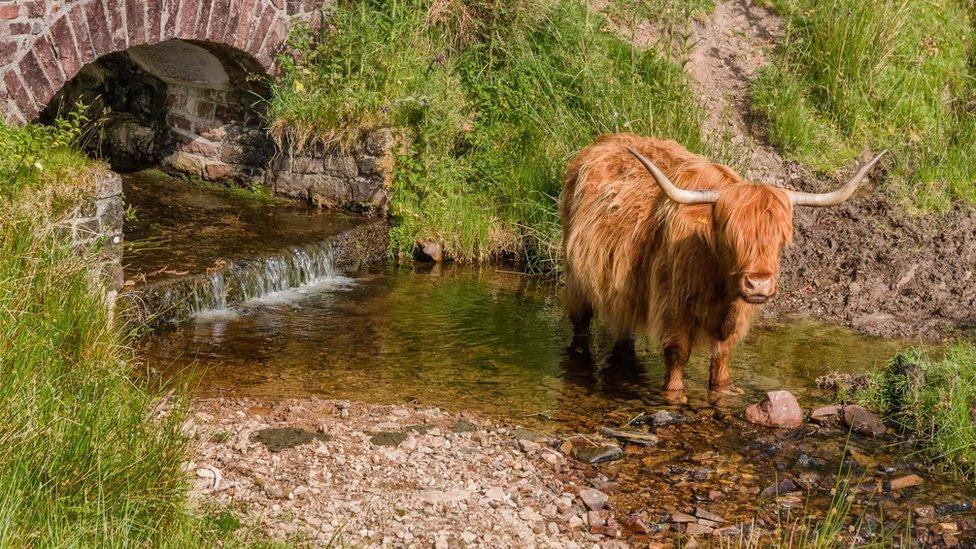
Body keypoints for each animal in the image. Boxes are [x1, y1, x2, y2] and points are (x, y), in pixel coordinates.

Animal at [556, 135, 884, 396]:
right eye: (730, 237)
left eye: (780, 240)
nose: (759, 284)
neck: (720, 286)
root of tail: (601, 142)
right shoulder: (674, 307)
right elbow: (677, 360)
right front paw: (674, 395)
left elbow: (721, 365)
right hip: (575, 277)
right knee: (580, 323)